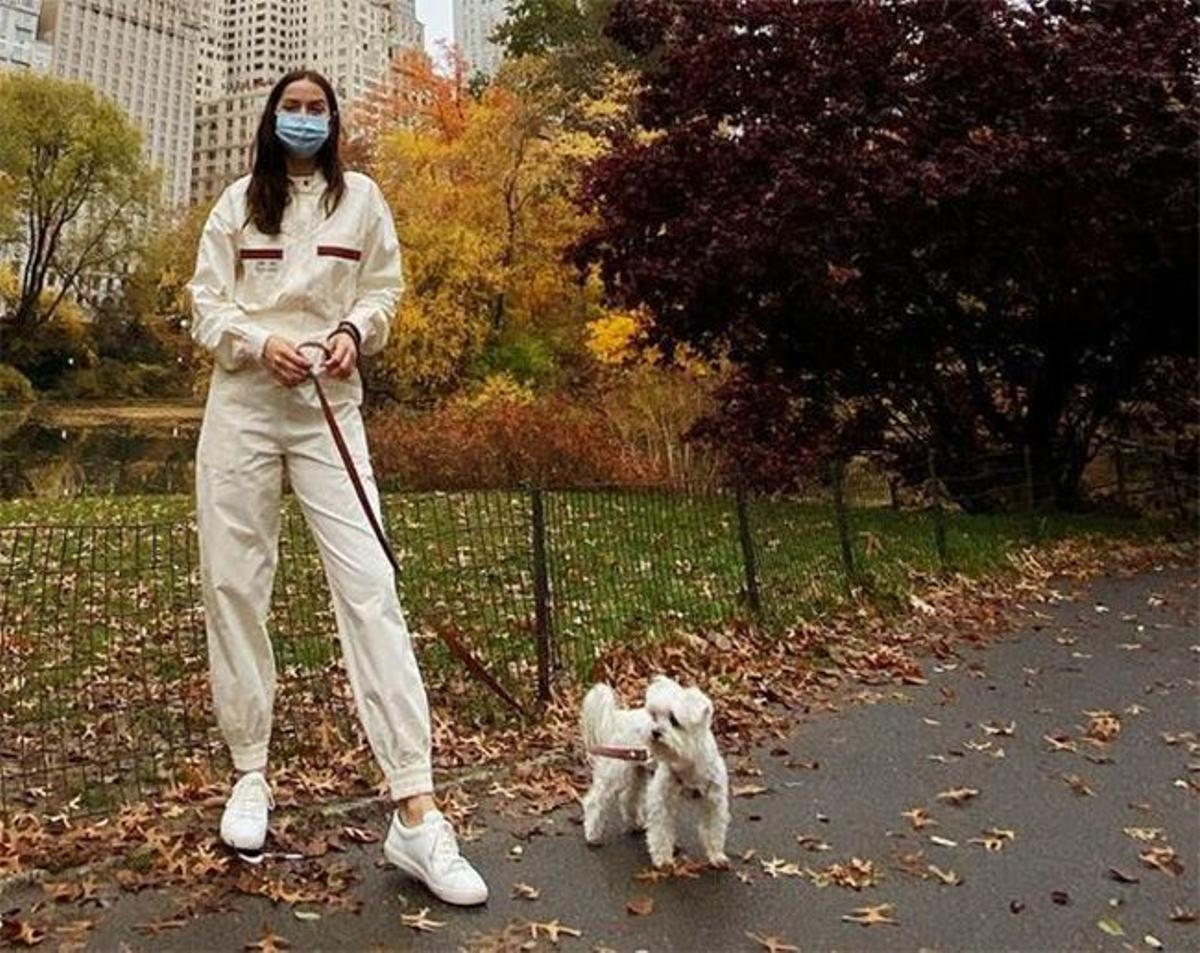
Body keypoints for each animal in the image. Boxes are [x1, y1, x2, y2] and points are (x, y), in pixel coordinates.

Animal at [576, 672, 724, 864]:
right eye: (654, 716)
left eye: (674, 720)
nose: (654, 731)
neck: (686, 760)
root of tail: (620, 718)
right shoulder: (662, 797)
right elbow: (661, 830)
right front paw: (663, 859)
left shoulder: (714, 801)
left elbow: (713, 830)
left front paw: (716, 855)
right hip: (616, 771)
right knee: (595, 801)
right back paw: (593, 834)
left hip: (637, 770)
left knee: (628, 798)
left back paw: (634, 824)